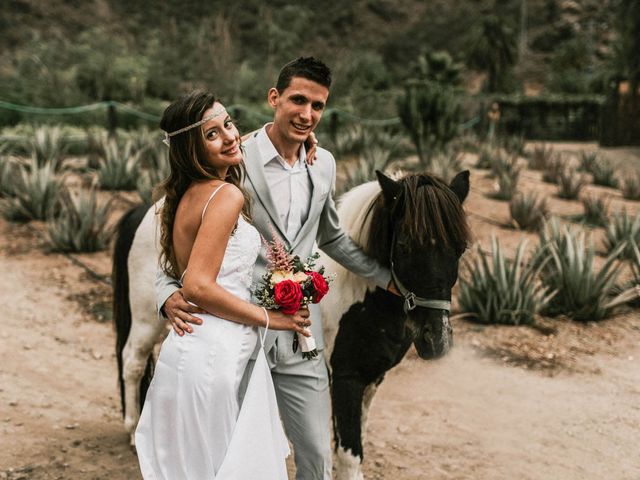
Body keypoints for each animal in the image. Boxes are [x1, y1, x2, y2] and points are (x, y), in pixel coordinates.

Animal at [111, 170, 470, 480]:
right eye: (405, 246)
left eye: (460, 248)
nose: (436, 341)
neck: (359, 292)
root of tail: (145, 211)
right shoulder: (347, 378)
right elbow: (349, 453)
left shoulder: (372, 377)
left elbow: (350, 443)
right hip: (146, 320)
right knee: (133, 361)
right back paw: (133, 431)